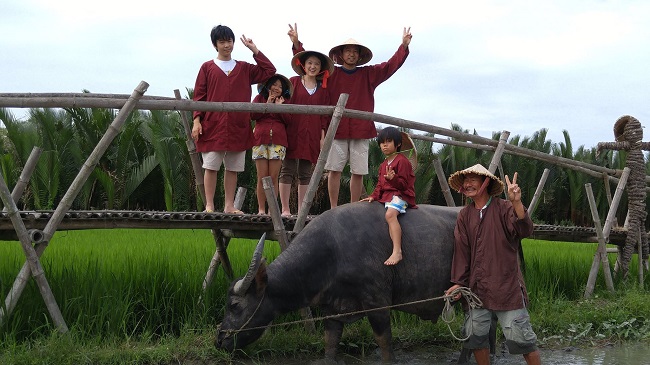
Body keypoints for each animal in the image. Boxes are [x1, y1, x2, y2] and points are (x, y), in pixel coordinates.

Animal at [215, 202, 458, 362]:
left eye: (234, 305)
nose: (219, 340)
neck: (333, 251)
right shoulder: (332, 311)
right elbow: (330, 346)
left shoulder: (378, 305)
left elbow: (385, 346)